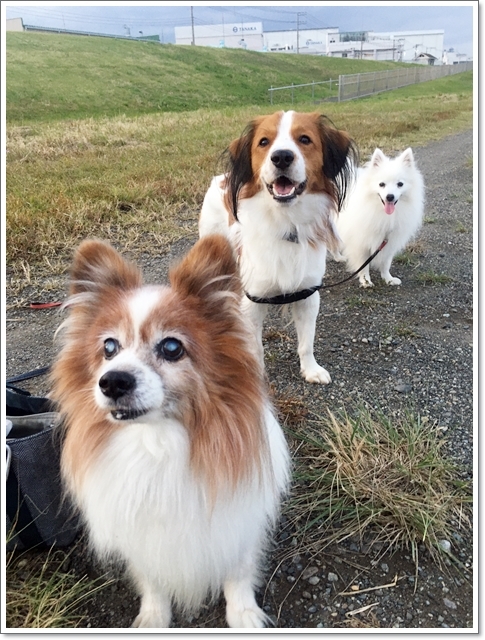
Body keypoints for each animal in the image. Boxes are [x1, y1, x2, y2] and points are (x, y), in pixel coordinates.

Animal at [51, 236, 290, 632]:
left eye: (172, 347)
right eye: (109, 347)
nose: (112, 381)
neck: (156, 442)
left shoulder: (237, 523)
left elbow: (238, 573)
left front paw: (243, 615)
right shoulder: (143, 536)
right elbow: (153, 580)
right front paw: (153, 617)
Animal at [199, 109, 358, 384]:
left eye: (305, 139)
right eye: (264, 142)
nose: (281, 157)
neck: (286, 224)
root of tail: (221, 179)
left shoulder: (308, 294)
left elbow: (306, 342)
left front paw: (311, 369)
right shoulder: (251, 302)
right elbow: (256, 348)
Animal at [334, 148, 422, 288]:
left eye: (400, 184)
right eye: (381, 184)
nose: (390, 196)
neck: (382, 213)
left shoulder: (388, 241)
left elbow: (386, 263)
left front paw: (388, 279)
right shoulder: (361, 243)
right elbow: (363, 265)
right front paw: (365, 281)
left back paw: (338, 257)